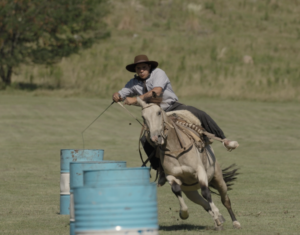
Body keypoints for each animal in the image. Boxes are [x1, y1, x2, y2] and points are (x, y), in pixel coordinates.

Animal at [136, 96, 241, 229]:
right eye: (143, 116)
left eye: (159, 112)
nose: (155, 138)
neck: (176, 149)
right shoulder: (171, 175)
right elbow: (176, 190)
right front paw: (183, 213)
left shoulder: (200, 171)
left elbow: (206, 192)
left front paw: (217, 214)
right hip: (190, 191)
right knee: (204, 204)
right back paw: (218, 220)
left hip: (218, 179)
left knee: (225, 200)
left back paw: (235, 222)